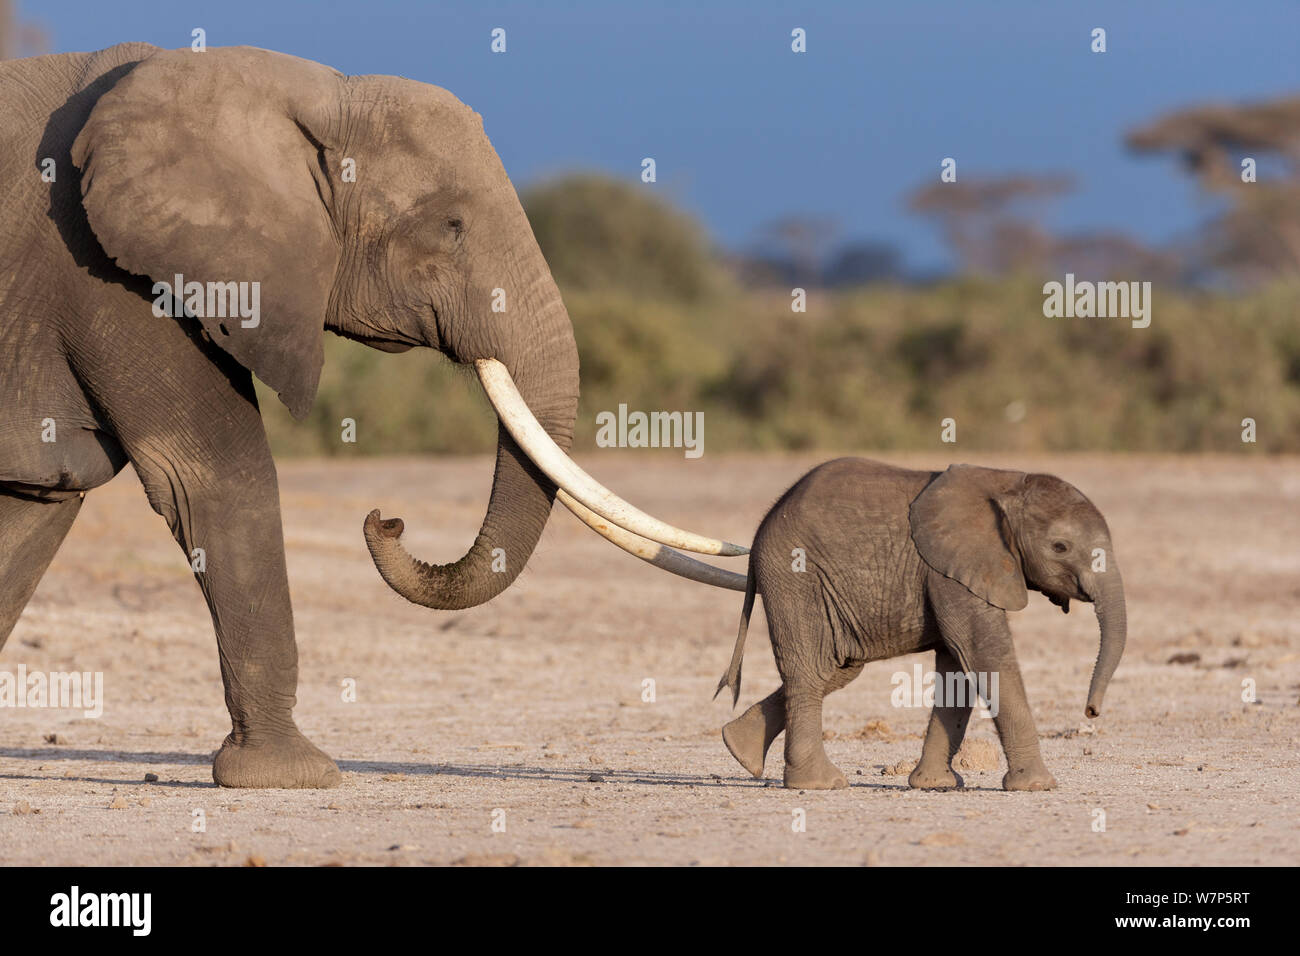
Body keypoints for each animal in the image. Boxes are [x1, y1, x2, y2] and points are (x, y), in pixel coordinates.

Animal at [0, 44, 748, 790]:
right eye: (450, 226)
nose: (385, 519)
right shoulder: (109, 274)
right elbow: (216, 473)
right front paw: (292, 776)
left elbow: (41, 504)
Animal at [717, 460, 1123, 790]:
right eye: (1060, 547)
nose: (1091, 712)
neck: (1007, 482)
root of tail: (763, 526)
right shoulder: (952, 570)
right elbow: (985, 654)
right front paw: (1037, 786)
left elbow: (958, 663)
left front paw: (935, 785)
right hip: (795, 575)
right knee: (811, 669)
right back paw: (820, 783)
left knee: (836, 668)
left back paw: (739, 748)